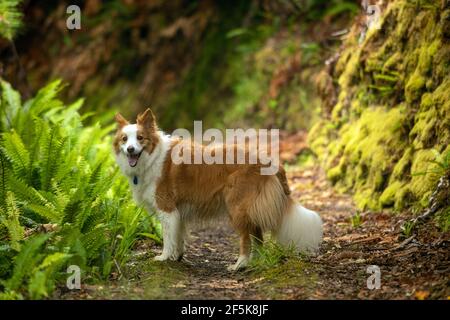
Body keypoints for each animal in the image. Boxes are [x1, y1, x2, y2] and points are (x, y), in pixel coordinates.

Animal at [114, 108, 322, 270]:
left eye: (140, 138)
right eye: (124, 139)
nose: (130, 149)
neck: (153, 156)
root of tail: (269, 160)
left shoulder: (167, 208)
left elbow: (167, 237)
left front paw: (163, 257)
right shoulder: (178, 212)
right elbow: (178, 236)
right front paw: (177, 257)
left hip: (237, 208)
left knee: (246, 239)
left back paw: (240, 264)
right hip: (247, 209)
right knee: (258, 238)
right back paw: (256, 262)